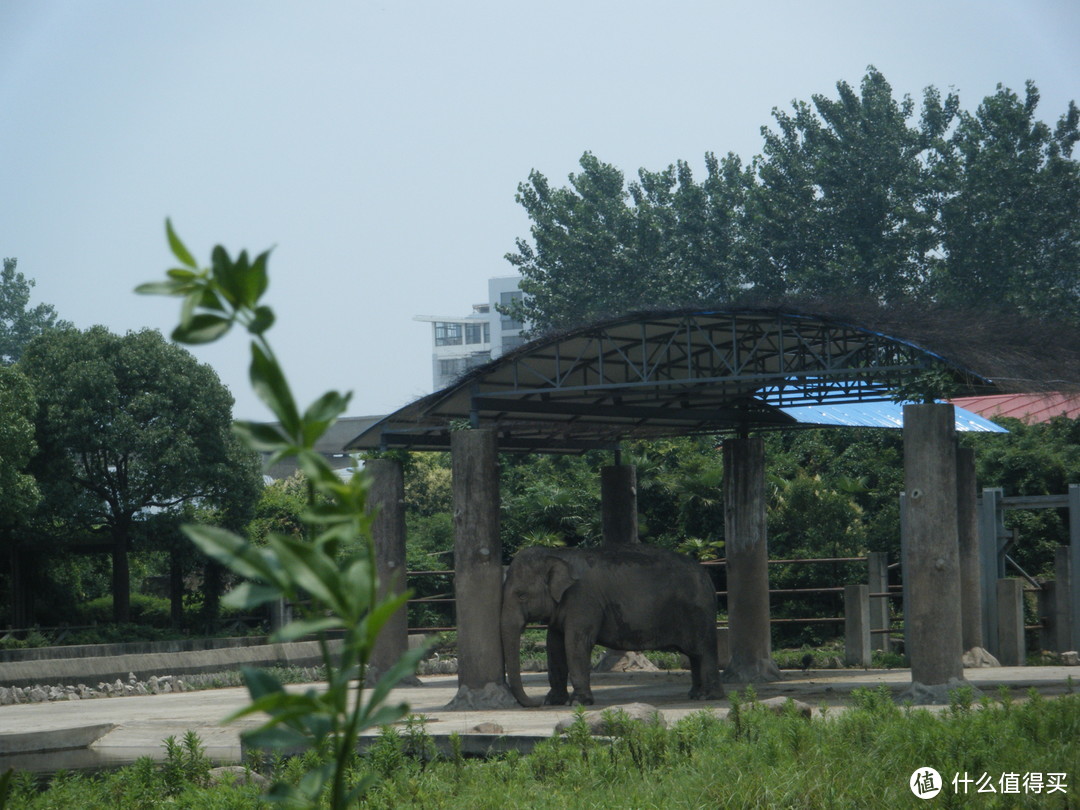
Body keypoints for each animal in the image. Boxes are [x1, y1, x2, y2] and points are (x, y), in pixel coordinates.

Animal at [498, 546, 725, 708]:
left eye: (521, 595)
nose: (535, 703)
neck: (557, 554)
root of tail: (708, 578)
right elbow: (554, 645)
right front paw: (553, 701)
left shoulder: (582, 600)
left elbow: (576, 643)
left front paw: (578, 703)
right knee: (694, 655)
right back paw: (695, 695)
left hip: (699, 611)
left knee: (704, 650)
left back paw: (708, 697)